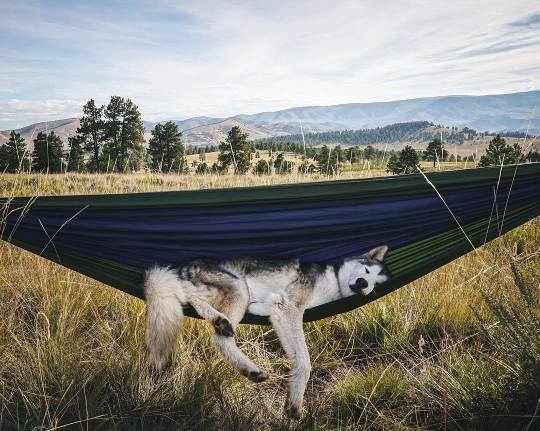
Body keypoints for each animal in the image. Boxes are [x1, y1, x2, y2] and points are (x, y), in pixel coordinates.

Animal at [143, 246, 388, 418]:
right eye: (367, 270)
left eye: (377, 284)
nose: (364, 283)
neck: (335, 283)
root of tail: (177, 268)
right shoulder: (287, 307)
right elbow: (304, 361)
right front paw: (295, 400)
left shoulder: (277, 310)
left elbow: (297, 354)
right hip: (238, 287)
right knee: (211, 326)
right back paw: (220, 323)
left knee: (206, 320)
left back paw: (249, 367)